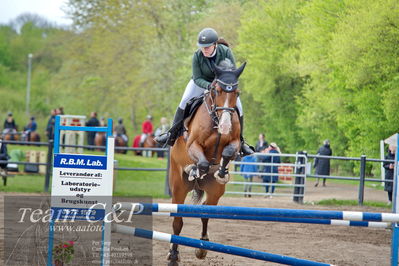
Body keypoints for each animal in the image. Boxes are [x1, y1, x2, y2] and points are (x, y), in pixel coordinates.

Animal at [166, 61, 245, 264]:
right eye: (216, 90)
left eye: (237, 92)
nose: (225, 126)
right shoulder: (193, 144)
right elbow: (201, 162)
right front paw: (195, 169)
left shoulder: (234, 143)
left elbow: (228, 152)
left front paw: (221, 172)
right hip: (178, 187)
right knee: (177, 221)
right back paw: (173, 255)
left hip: (215, 192)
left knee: (205, 211)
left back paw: (202, 248)